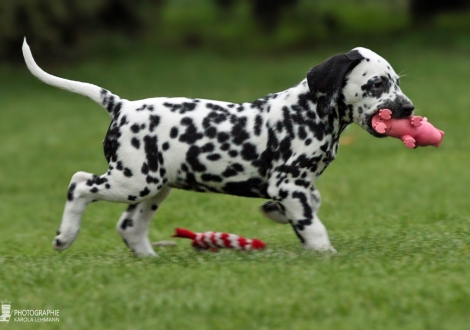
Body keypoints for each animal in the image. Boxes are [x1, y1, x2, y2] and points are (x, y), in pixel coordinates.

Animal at [23, 38, 412, 255]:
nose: (408, 109)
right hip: (132, 180)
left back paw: (150, 259)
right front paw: (324, 252)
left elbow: (311, 204)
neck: (310, 111)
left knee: (129, 226)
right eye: (377, 84)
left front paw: (276, 214)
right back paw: (65, 236)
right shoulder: (288, 183)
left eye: (395, 81)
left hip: (154, 187)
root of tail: (122, 106)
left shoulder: (299, 185)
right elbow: (312, 223)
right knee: (79, 183)